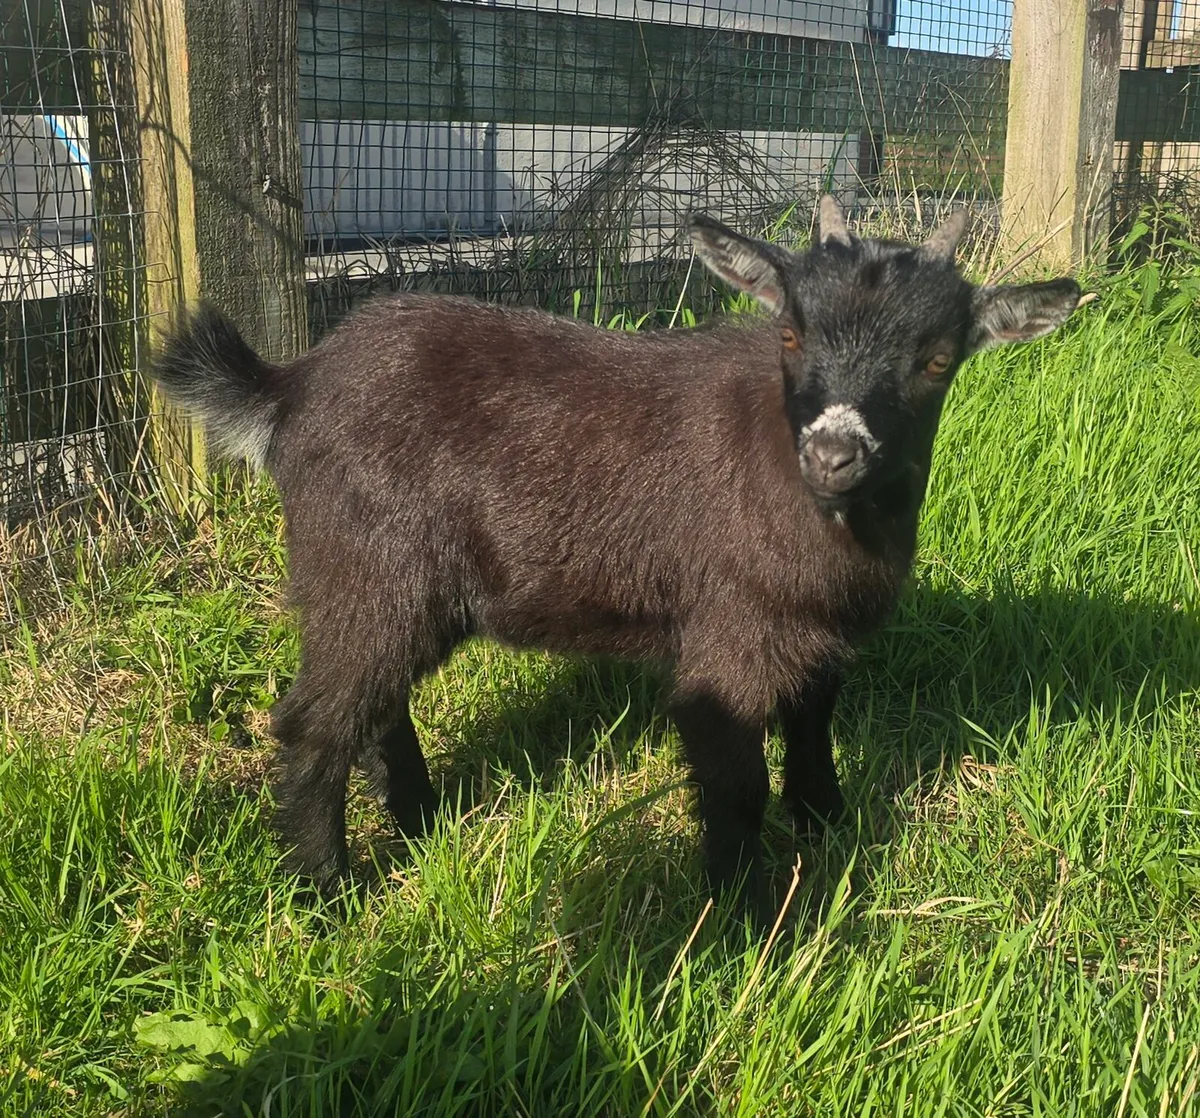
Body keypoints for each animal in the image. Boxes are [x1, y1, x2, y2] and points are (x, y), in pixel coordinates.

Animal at [152, 196, 1083, 904]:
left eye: (937, 358)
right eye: (789, 336)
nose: (832, 453)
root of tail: (291, 387)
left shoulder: (821, 631)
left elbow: (813, 724)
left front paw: (827, 824)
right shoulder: (731, 636)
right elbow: (734, 779)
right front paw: (744, 921)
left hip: (403, 591)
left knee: (376, 702)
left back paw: (419, 823)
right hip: (365, 564)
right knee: (315, 720)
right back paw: (326, 892)